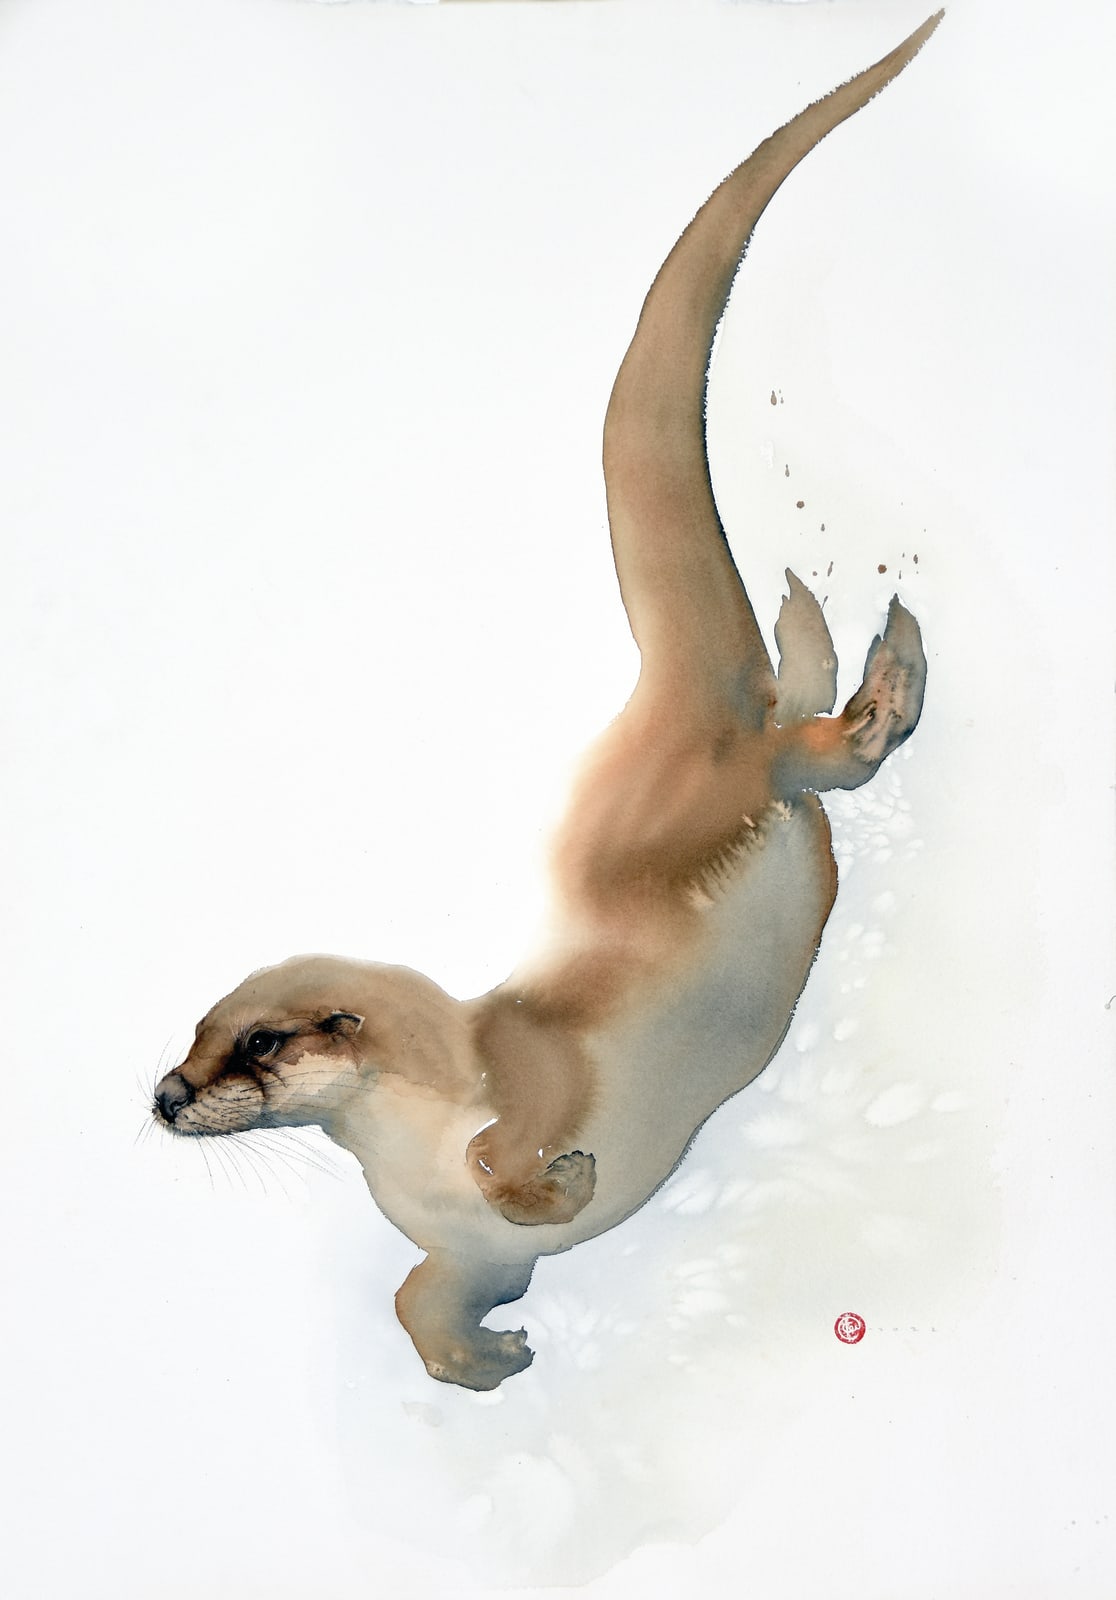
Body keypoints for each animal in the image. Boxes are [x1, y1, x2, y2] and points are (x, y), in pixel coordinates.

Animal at [154, 13, 939, 1390]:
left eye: (255, 1043)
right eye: (193, 1033)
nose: (163, 1094)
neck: (408, 1142)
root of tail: (667, 702)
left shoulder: (526, 1080)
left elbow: (508, 1157)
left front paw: (559, 1178)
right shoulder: (459, 1250)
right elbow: (428, 1297)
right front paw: (494, 1355)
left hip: (708, 801)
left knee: (810, 754)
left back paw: (896, 670)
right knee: (795, 714)